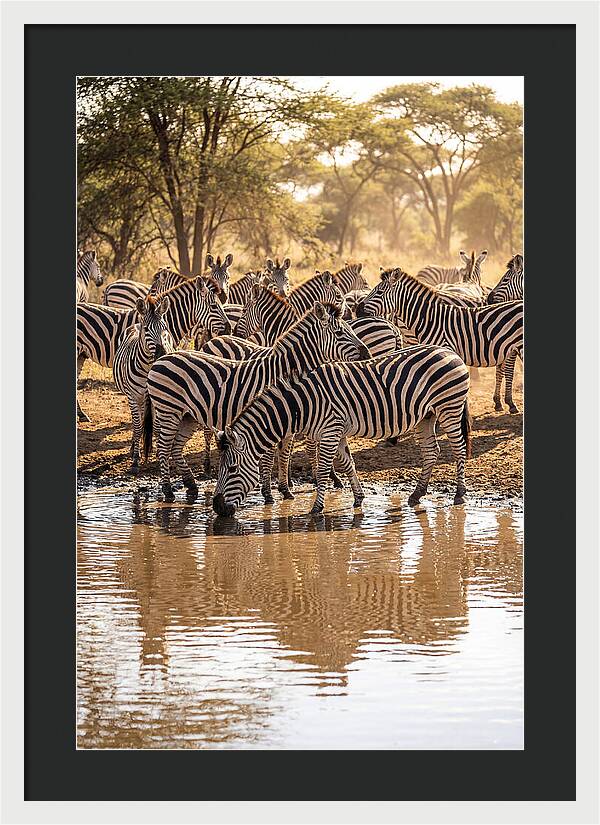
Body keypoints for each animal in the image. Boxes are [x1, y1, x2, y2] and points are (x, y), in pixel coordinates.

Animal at [113, 295, 174, 471]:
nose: (162, 354)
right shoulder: (133, 397)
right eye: (147, 330)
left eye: (165, 328)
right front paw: (135, 459)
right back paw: (134, 447)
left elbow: (158, 427)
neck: (148, 368)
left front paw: (161, 454)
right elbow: (138, 425)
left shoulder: (160, 398)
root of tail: (136, 324)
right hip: (135, 398)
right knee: (138, 421)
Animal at [142, 303, 370, 502]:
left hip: (187, 416)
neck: (283, 371)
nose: (367, 353)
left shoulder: (287, 420)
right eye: (339, 333)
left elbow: (284, 454)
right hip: (168, 411)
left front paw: (285, 490)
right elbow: (269, 457)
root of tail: (161, 359)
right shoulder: (271, 417)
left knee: (175, 448)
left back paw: (191, 485)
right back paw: (168, 491)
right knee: (163, 448)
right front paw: (268, 494)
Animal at [212, 344, 472, 517]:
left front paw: (316, 509)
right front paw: (358, 498)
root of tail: (450, 352)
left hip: (449, 407)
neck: (303, 403)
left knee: (458, 448)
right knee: (431, 451)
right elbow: (348, 464)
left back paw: (460, 494)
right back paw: (417, 494)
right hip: (425, 416)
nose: (217, 507)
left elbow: (323, 471)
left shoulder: (330, 431)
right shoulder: (336, 432)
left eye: (232, 469)